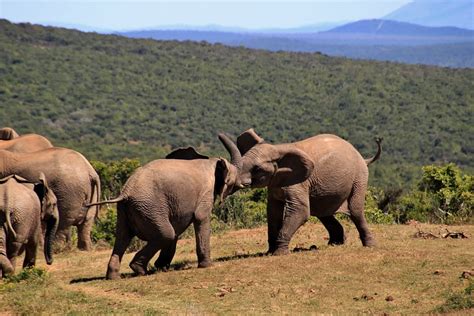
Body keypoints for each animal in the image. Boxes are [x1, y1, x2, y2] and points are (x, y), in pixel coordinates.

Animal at [86, 144, 241, 280]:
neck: (212, 162)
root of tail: (126, 192)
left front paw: (161, 267)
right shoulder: (206, 192)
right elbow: (200, 218)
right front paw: (208, 266)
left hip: (128, 210)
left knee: (122, 237)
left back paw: (114, 277)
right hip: (149, 207)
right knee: (166, 234)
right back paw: (139, 270)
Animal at [218, 128, 382, 254]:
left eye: (257, 169)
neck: (278, 149)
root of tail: (363, 157)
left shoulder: (299, 182)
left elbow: (300, 210)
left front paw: (279, 253)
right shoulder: (275, 183)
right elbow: (273, 211)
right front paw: (269, 252)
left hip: (359, 177)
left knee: (355, 210)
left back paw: (370, 245)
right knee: (322, 212)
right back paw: (335, 244)